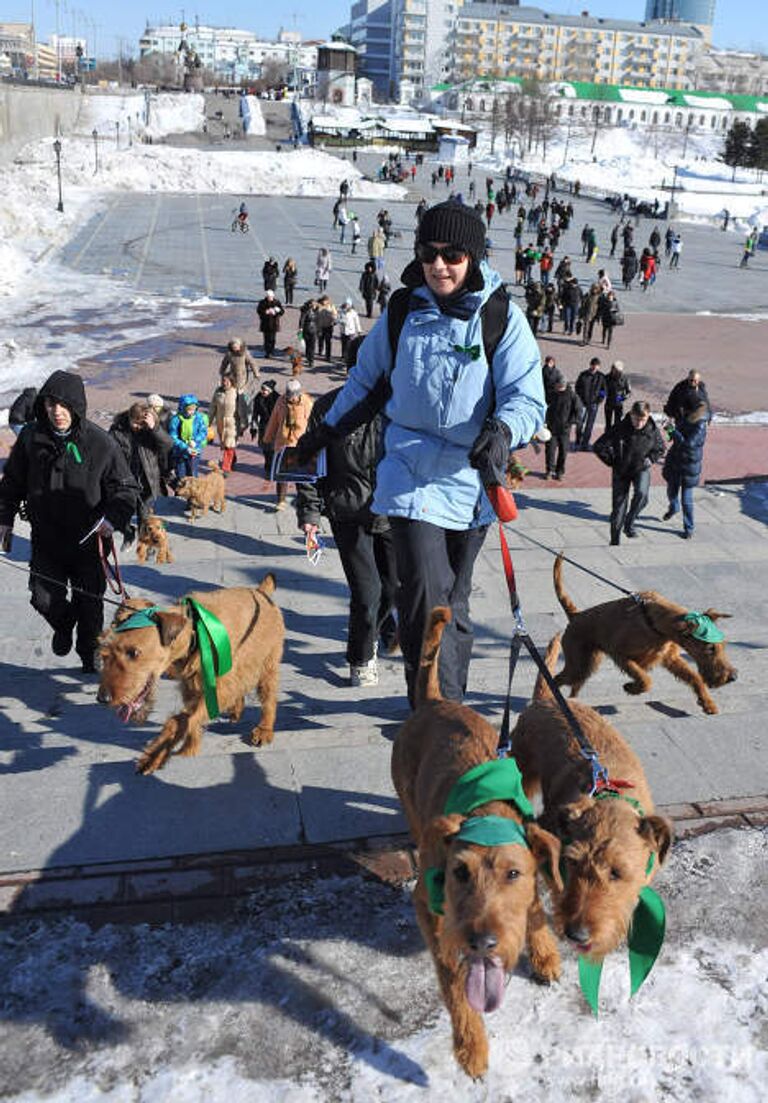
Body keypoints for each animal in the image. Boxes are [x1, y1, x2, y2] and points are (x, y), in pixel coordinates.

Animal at [97, 577, 282, 776]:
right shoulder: (193, 686)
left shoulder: (217, 689)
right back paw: (236, 710)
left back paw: (264, 730)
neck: (193, 633)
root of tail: (260, 592)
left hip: (268, 666)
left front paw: (156, 756)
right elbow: (185, 719)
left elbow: (181, 720)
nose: (102, 698)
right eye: (104, 654)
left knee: (268, 701)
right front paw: (168, 752)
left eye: (134, 652)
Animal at [392, 604, 560, 1076]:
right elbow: (454, 985)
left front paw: (545, 956)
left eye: (513, 874)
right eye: (458, 873)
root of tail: (435, 701)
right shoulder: (430, 909)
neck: (487, 812)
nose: (482, 942)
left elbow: (535, 908)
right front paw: (472, 1047)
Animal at [516, 630, 670, 966]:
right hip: (522, 770)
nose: (577, 935)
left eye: (617, 872)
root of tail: (546, 699)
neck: (610, 796)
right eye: (572, 863)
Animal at [549, 551, 737, 714]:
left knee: (570, 684)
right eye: (710, 648)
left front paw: (708, 703)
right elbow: (645, 680)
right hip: (578, 664)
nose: (733, 677)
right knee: (555, 679)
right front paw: (631, 688)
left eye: (723, 645)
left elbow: (695, 677)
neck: (656, 624)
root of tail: (575, 615)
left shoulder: (671, 659)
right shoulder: (621, 655)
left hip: (588, 664)